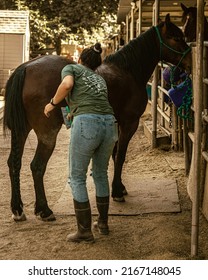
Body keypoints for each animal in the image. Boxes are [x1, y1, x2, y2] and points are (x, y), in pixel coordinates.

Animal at [2, 14, 192, 221]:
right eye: (176, 37)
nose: (191, 60)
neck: (128, 71)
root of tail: (26, 67)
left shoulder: (116, 122)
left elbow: (115, 154)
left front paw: (119, 187)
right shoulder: (129, 123)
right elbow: (120, 156)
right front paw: (117, 192)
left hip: (21, 130)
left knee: (14, 163)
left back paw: (18, 210)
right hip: (47, 134)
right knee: (37, 166)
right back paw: (44, 210)